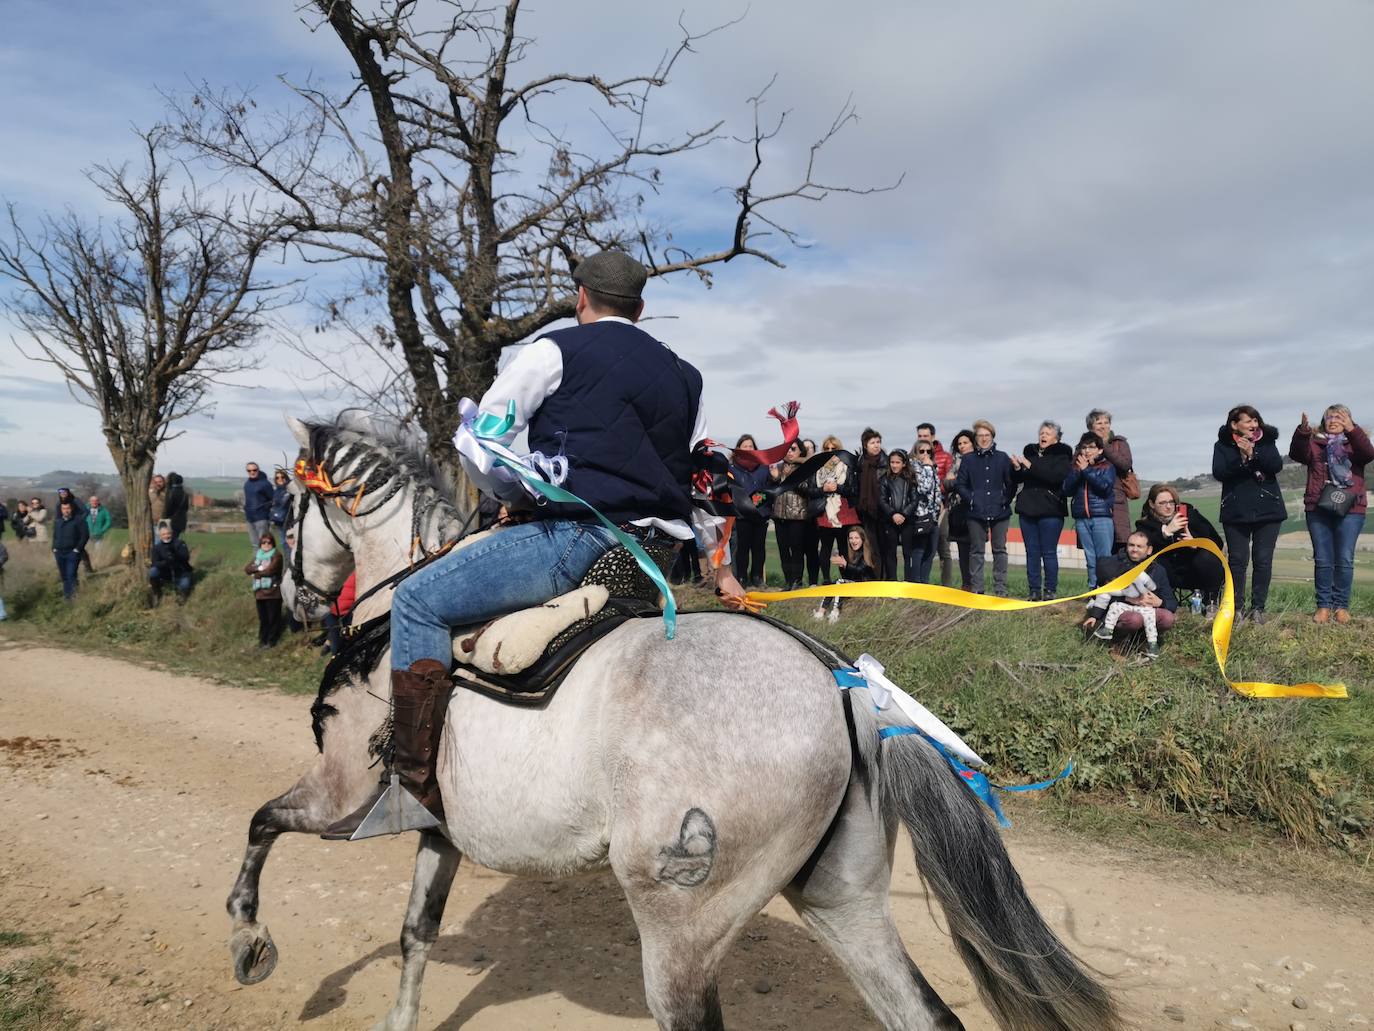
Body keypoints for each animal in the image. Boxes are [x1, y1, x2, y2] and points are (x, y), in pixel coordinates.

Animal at [225, 415, 1115, 1031]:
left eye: (291, 502)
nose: (295, 597)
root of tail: (845, 686)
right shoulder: (439, 828)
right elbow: (416, 933)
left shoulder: (340, 794)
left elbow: (262, 823)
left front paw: (248, 940)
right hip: (842, 898)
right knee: (923, 1014)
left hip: (682, 926)